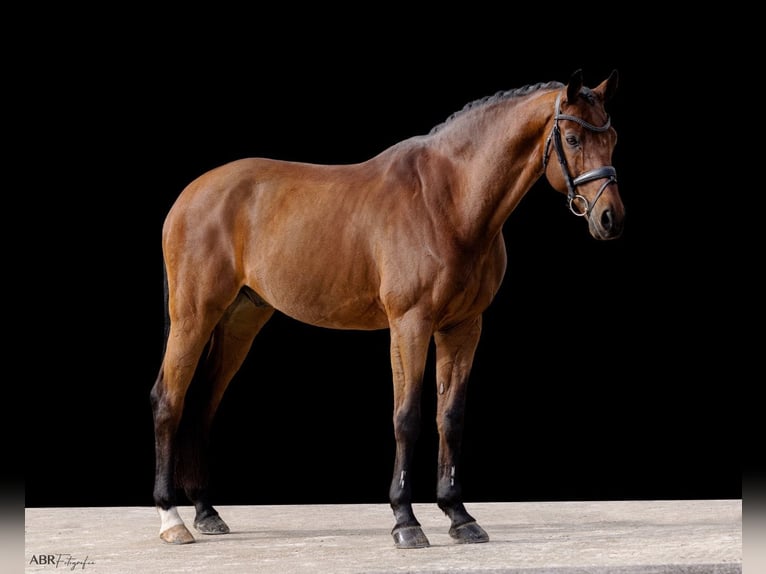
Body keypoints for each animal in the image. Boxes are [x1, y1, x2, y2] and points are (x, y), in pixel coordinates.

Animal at [150, 69, 624, 549]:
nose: (610, 218)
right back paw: (172, 519)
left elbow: (449, 417)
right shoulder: (410, 324)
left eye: (613, 138)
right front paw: (405, 521)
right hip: (193, 316)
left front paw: (459, 515)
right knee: (169, 399)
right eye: (572, 138)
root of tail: (190, 194)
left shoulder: (463, 327)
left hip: (240, 321)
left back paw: (207, 512)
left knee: (202, 403)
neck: (448, 200)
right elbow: (407, 417)